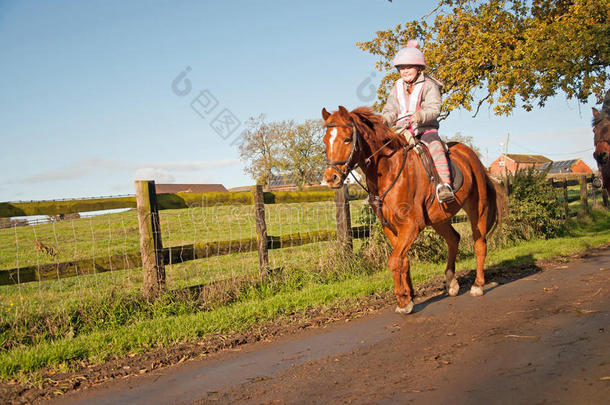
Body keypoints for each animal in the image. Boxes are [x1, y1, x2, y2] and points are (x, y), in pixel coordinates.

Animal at [318, 106, 504, 312]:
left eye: (347, 139)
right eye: (326, 140)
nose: (331, 178)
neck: (389, 170)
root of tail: (471, 155)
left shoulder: (411, 226)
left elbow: (394, 260)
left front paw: (402, 300)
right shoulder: (390, 227)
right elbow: (403, 260)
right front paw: (409, 296)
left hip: (477, 208)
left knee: (479, 244)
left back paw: (478, 285)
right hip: (439, 218)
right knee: (454, 239)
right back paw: (451, 282)